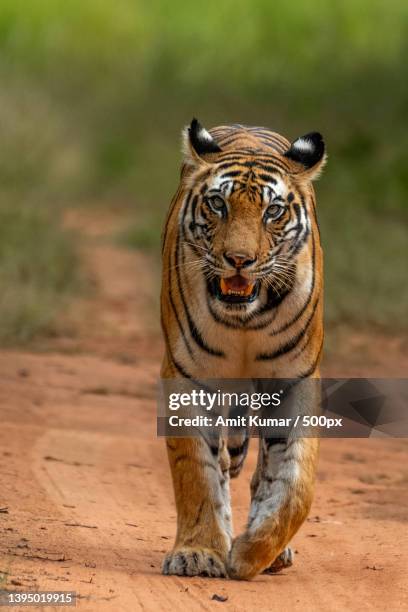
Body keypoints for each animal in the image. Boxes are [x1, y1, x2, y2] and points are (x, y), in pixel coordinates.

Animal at [159, 118, 326, 580]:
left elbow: (296, 486)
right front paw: (199, 553)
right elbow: (196, 473)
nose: (239, 259)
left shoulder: (295, 381)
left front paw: (254, 552)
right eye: (218, 204)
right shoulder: (188, 377)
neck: (244, 319)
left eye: (273, 211)